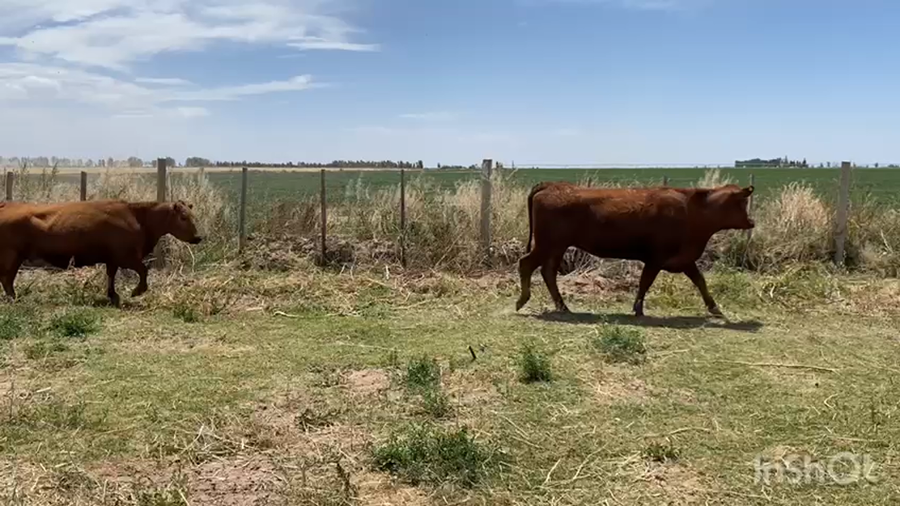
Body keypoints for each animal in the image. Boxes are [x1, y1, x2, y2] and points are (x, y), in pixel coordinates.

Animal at [0, 199, 203, 307]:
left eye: (193, 216)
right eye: (183, 217)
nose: (198, 237)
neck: (138, 218)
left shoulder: (113, 259)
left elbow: (111, 275)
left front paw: (113, 296)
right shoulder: (127, 257)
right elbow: (144, 271)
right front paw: (136, 291)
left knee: (7, 278)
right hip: (11, 255)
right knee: (6, 278)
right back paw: (13, 299)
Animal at [515, 181, 754, 317]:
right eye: (742, 203)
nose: (752, 221)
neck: (691, 209)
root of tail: (551, 185)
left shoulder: (685, 260)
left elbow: (700, 281)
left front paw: (714, 308)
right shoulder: (656, 259)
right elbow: (645, 282)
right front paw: (638, 308)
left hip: (555, 247)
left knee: (547, 272)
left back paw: (562, 306)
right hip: (548, 244)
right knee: (527, 264)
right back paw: (523, 300)